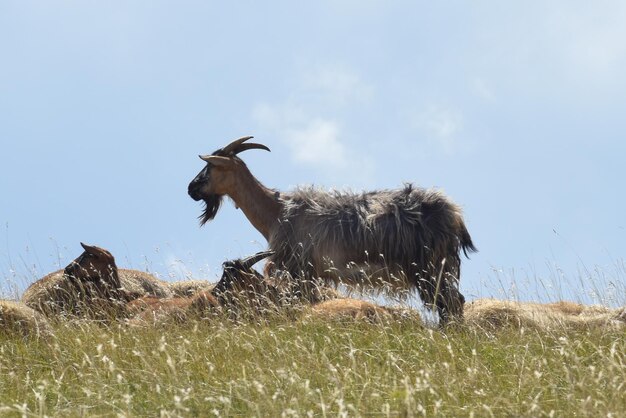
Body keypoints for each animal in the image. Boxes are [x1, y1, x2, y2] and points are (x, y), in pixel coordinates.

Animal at [188, 136, 476, 324]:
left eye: (211, 166)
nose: (191, 188)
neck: (278, 211)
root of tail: (454, 215)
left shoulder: (300, 269)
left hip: (431, 266)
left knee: (451, 303)